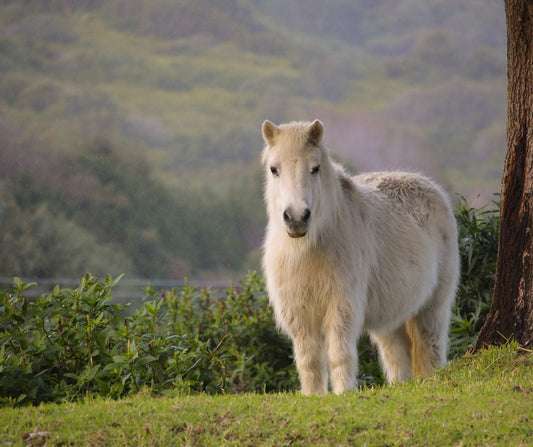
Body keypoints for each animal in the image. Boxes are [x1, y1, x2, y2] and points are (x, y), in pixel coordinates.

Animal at [260, 119, 458, 396]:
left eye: (315, 168)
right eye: (274, 169)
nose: (297, 218)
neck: (307, 250)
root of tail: (431, 188)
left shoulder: (341, 306)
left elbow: (338, 354)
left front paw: (343, 393)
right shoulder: (299, 314)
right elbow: (309, 360)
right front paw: (313, 396)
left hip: (432, 307)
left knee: (431, 348)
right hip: (391, 319)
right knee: (397, 356)